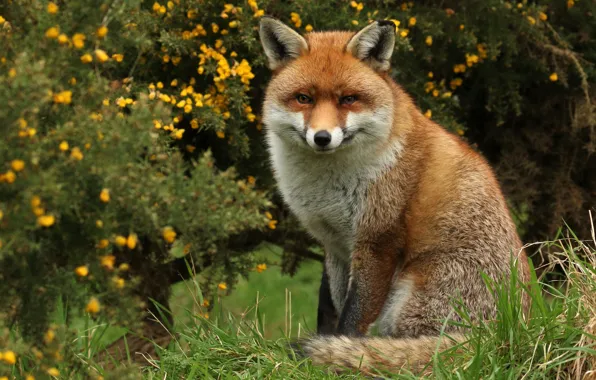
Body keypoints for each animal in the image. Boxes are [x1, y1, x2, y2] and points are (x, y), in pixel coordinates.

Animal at [258, 17, 528, 374]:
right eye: (304, 98)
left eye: (349, 99)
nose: (322, 137)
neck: (327, 185)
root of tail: (511, 332)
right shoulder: (334, 244)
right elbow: (329, 307)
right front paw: (323, 347)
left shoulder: (378, 240)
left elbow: (352, 319)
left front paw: (339, 352)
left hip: (410, 298)